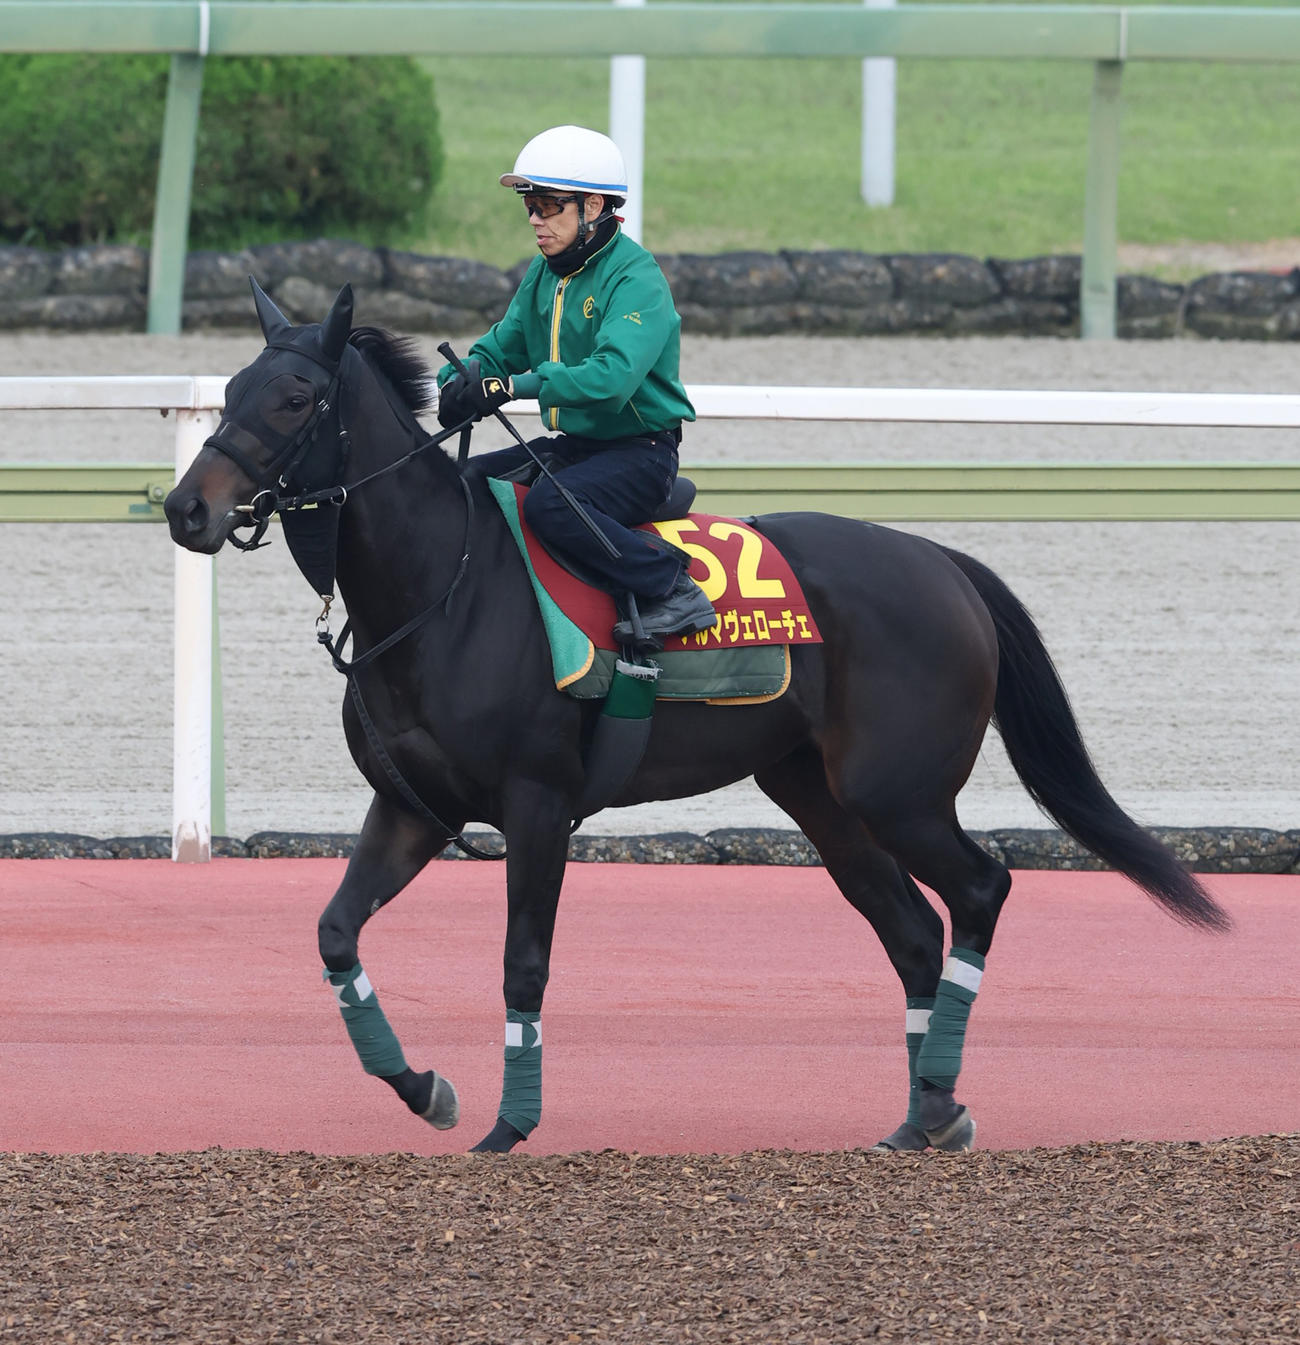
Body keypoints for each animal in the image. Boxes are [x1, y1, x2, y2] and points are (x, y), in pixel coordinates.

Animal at [165, 281, 1229, 1155]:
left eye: (293, 398)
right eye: (231, 385)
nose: (187, 508)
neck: (443, 586)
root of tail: (944, 563)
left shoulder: (538, 806)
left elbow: (523, 963)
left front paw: (512, 1124)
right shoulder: (413, 808)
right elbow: (336, 933)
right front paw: (426, 1089)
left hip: (900, 793)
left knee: (979, 891)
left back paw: (937, 1097)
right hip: (822, 798)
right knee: (914, 932)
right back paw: (922, 1113)